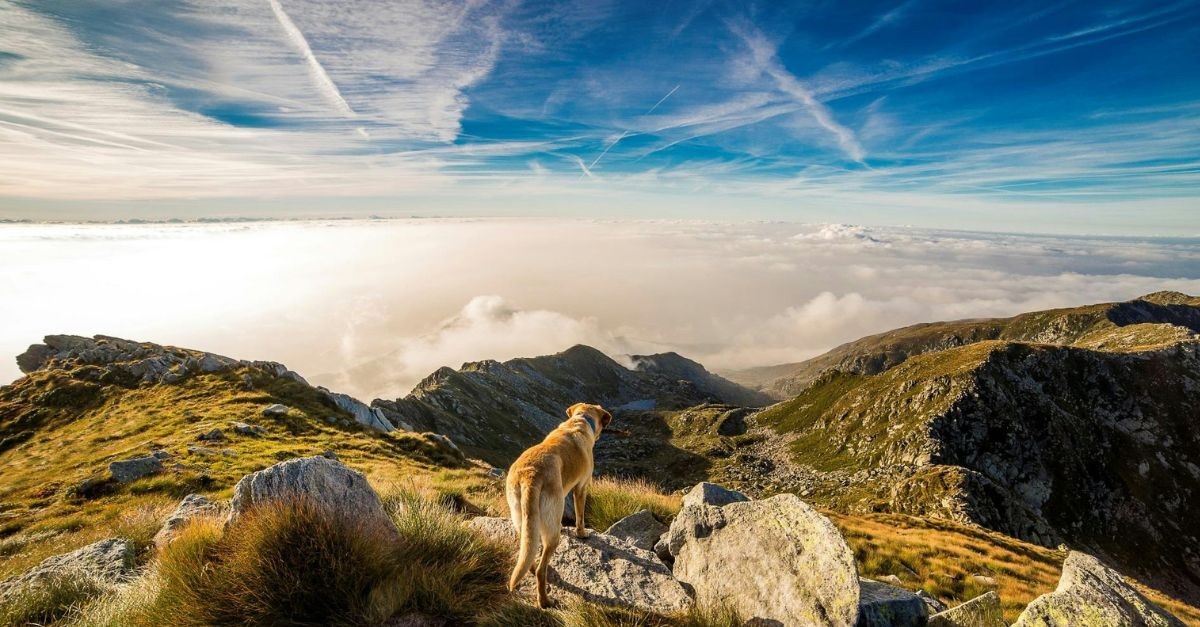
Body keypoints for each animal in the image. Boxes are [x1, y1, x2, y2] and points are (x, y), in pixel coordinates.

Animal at [508, 401, 614, 605]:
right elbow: (580, 516)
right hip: (552, 530)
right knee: (541, 570)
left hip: (521, 518)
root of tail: (530, 475)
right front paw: (581, 534)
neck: (579, 420)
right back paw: (544, 601)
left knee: (527, 552)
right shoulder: (581, 488)